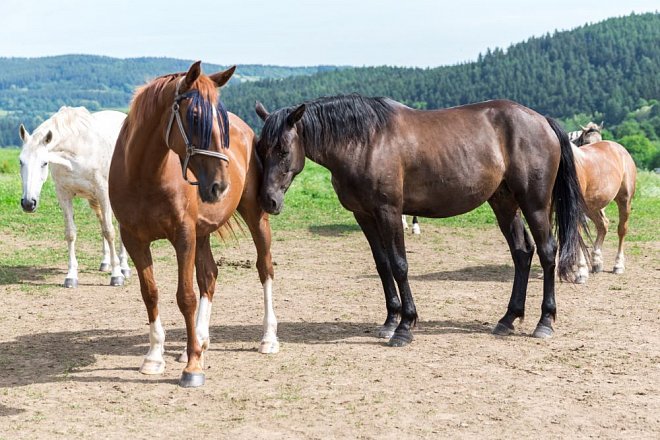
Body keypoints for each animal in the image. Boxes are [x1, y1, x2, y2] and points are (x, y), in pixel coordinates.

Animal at [18, 107, 130, 288]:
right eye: (21, 162)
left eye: (44, 163)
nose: (28, 203)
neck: (77, 150)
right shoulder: (64, 194)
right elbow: (71, 233)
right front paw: (71, 276)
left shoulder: (103, 192)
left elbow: (109, 231)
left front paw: (116, 275)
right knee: (102, 222)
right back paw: (105, 262)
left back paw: (125, 267)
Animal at [109, 62, 278, 388]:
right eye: (196, 116)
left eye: (221, 120)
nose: (220, 186)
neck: (144, 176)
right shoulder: (135, 239)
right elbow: (151, 293)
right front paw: (154, 356)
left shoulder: (183, 236)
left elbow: (185, 296)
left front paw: (193, 366)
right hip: (202, 233)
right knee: (209, 276)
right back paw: (200, 338)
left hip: (255, 217)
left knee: (264, 269)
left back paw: (268, 338)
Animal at [254, 96, 588, 348]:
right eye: (260, 148)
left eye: (283, 150)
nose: (268, 201)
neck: (365, 142)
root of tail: (542, 120)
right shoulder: (364, 215)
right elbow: (383, 265)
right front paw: (390, 321)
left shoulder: (389, 212)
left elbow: (400, 265)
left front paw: (405, 326)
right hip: (504, 202)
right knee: (522, 253)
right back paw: (507, 319)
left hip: (535, 204)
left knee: (547, 252)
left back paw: (544, 322)